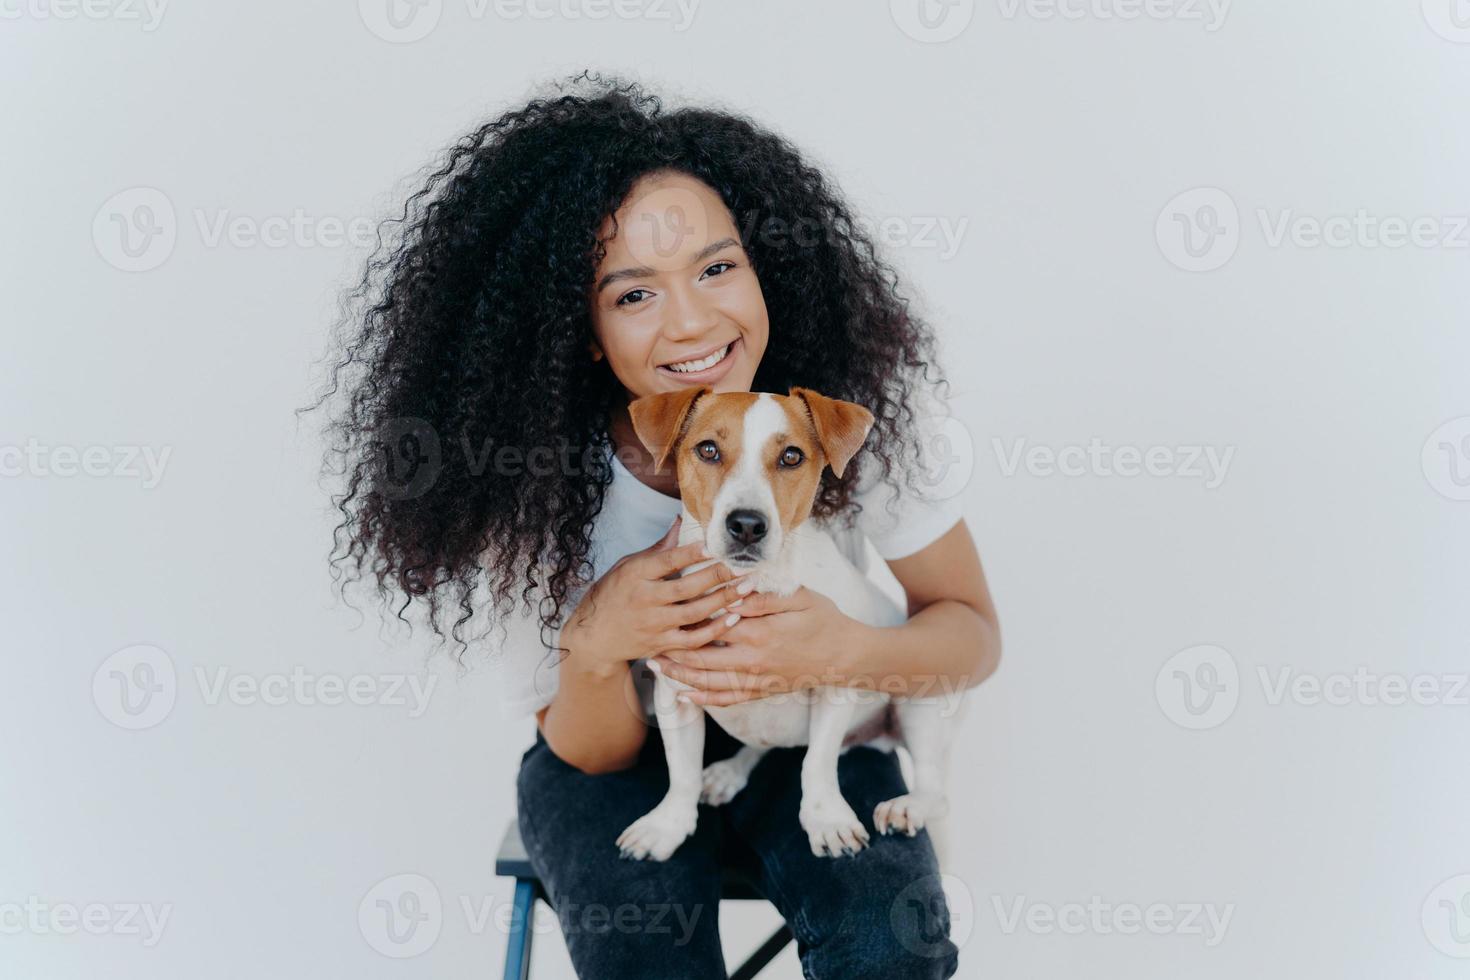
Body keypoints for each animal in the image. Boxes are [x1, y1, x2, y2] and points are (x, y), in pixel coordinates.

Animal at [611, 387, 964, 863]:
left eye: (791, 456)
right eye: (708, 450)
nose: (746, 524)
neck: (748, 586)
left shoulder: (836, 683)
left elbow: (817, 762)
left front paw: (826, 820)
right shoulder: (674, 692)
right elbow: (681, 771)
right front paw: (666, 826)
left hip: (919, 702)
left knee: (936, 791)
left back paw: (908, 806)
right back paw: (729, 771)